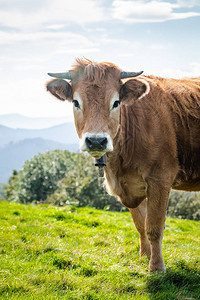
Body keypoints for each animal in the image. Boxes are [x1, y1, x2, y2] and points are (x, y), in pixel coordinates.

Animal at [45, 58, 200, 272]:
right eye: (76, 102)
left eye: (116, 102)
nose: (96, 141)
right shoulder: (133, 185)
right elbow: (141, 225)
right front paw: (144, 256)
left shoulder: (160, 178)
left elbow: (154, 227)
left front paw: (156, 267)